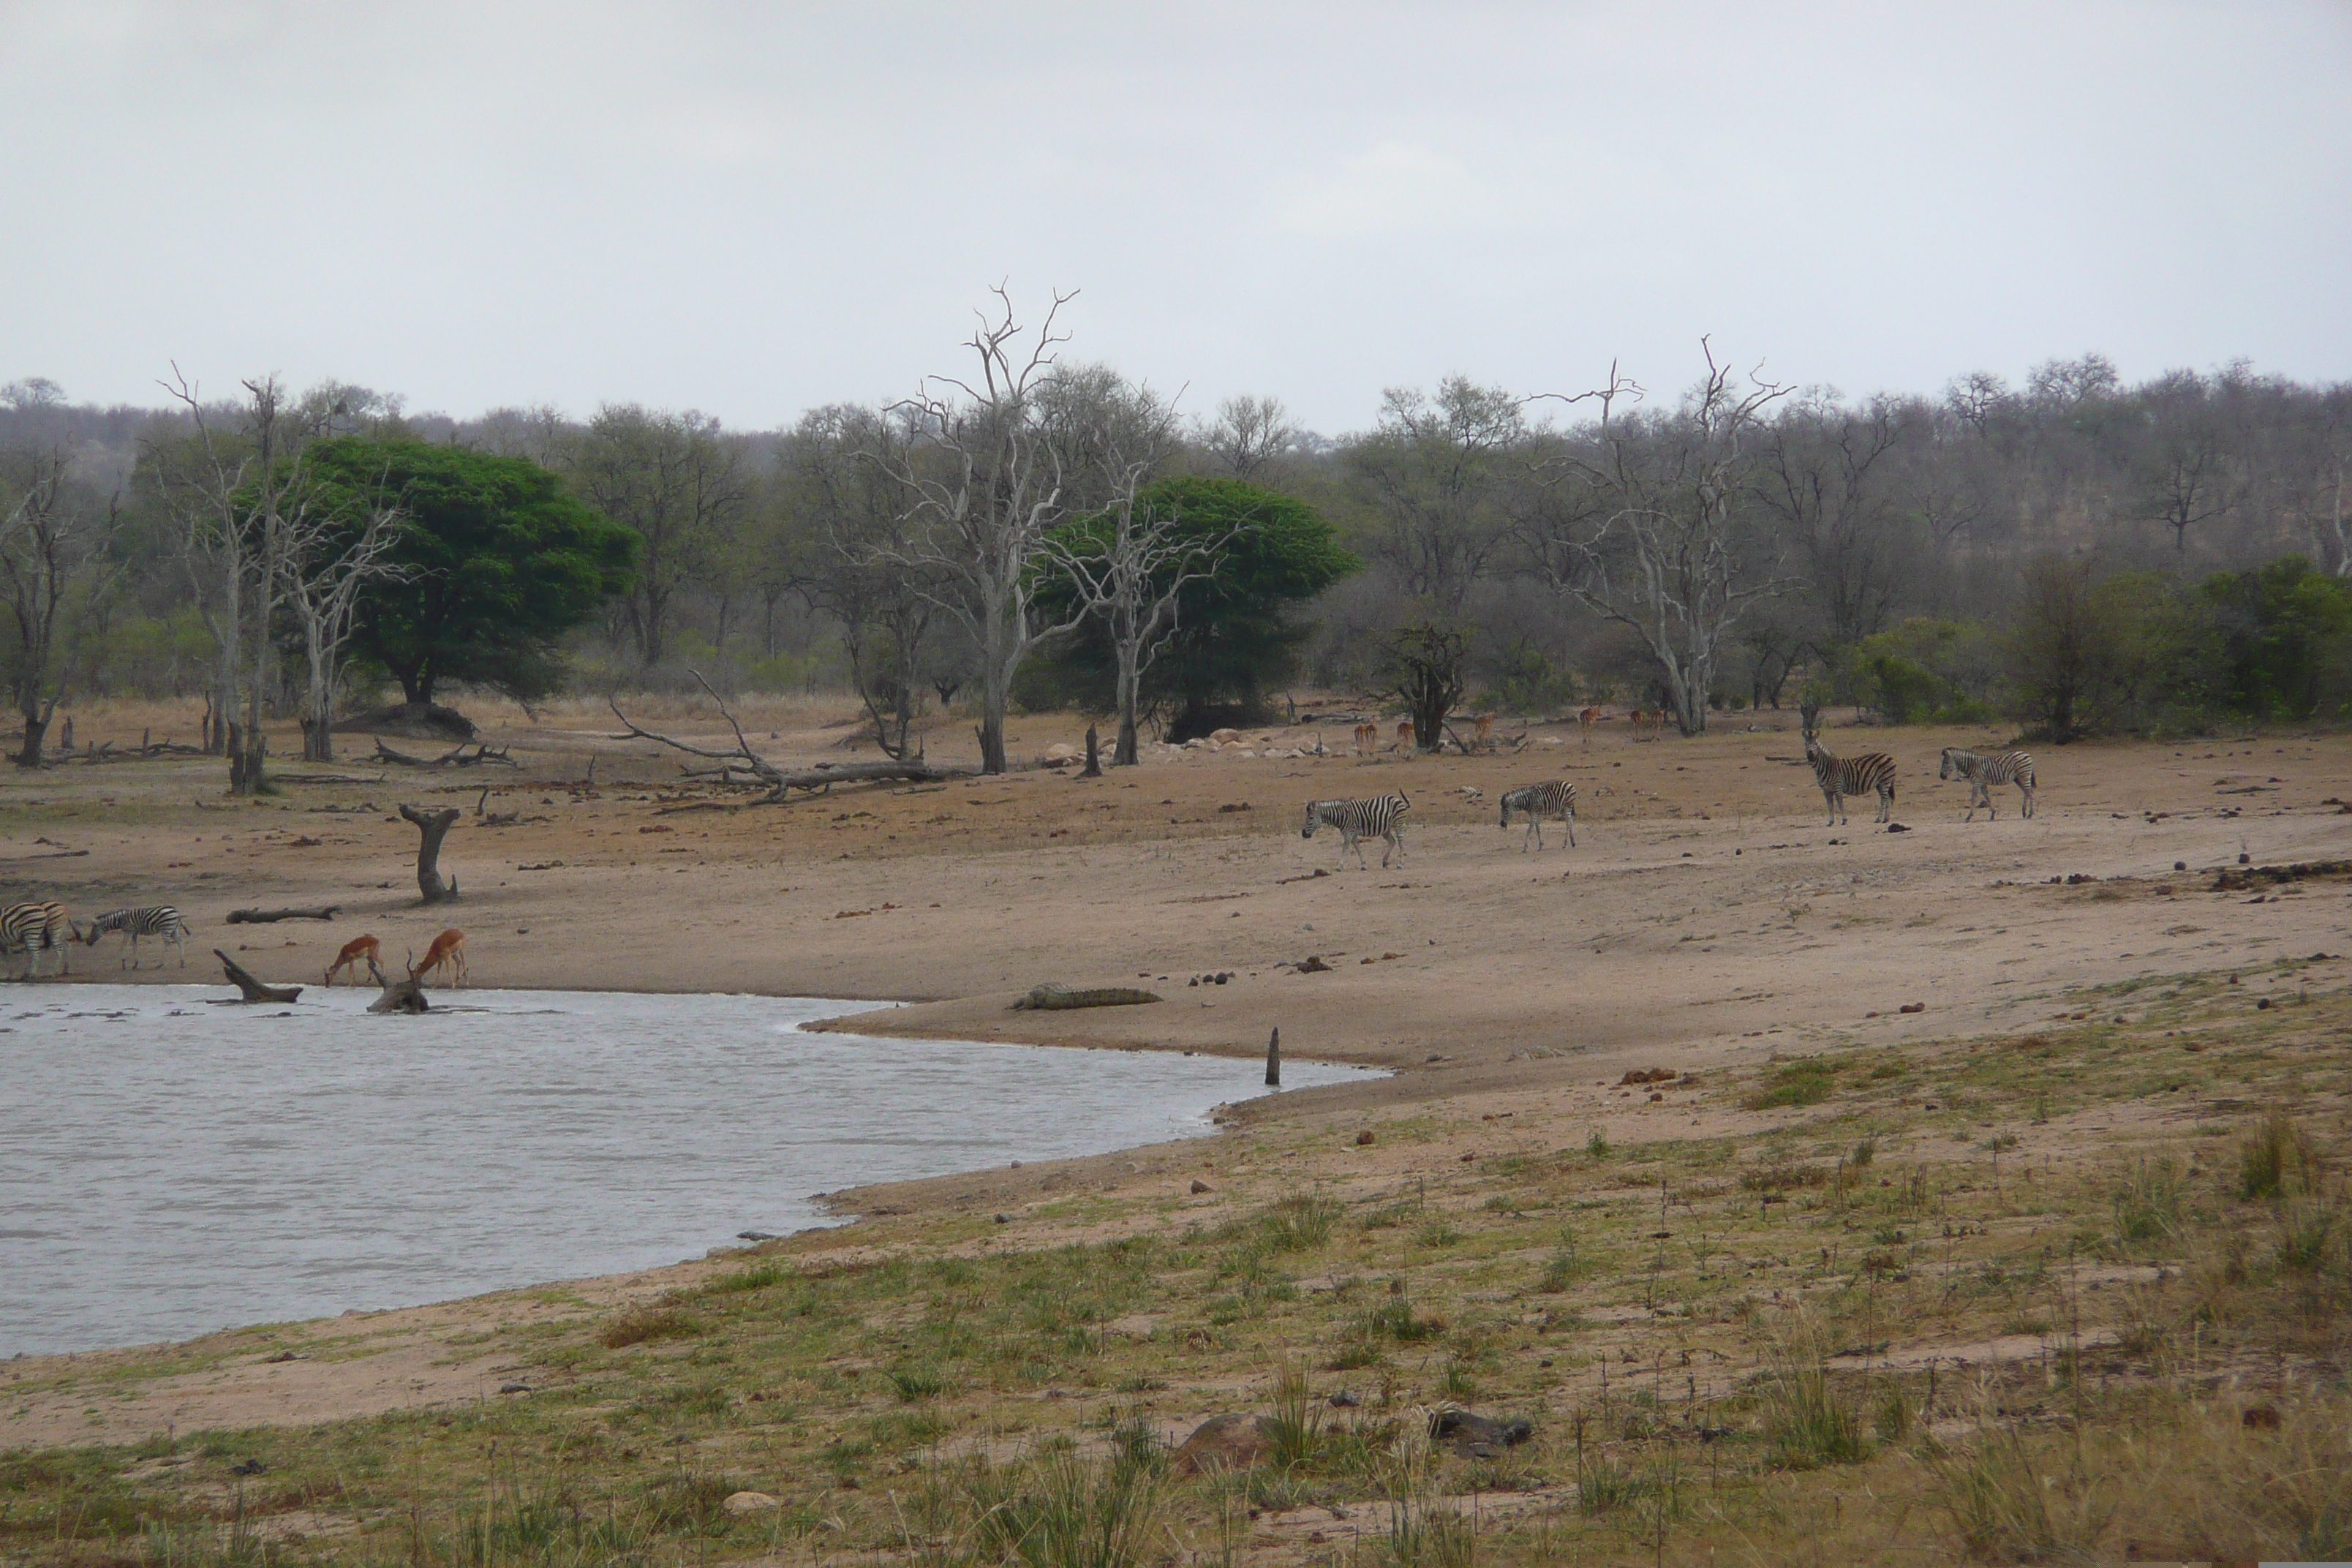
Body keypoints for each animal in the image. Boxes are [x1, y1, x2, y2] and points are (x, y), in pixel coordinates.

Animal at [80, 907, 194, 968]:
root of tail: (176, 911)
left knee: (168, 945)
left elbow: (123, 946)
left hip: (166, 928)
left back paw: (161, 964)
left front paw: (124, 964)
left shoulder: (129, 931)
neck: (121, 920)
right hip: (174, 929)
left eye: (92, 931)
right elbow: (135, 947)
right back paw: (182, 963)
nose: (88, 943)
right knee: (180, 941)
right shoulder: (135, 933)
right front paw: (135, 964)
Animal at [1298, 790, 1401, 879]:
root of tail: (1395, 797)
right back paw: (1385, 861)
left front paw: (1340, 867)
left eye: (1311, 818)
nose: (1303, 834)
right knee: (1392, 841)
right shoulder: (1352, 834)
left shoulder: (1349, 833)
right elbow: (1357, 848)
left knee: (1400, 843)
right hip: (1385, 830)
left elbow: (1345, 848)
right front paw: (1364, 865)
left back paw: (1400, 864)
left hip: (1398, 824)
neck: (1341, 815)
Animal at [1806, 724, 1900, 823]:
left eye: (1815, 744)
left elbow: (1840, 804)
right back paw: (1886, 819)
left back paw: (1879, 819)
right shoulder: (1826, 790)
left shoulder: (1837, 786)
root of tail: (1890, 756)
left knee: (1884, 800)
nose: (1810, 754)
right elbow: (1830, 806)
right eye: (1805, 744)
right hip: (1881, 783)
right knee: (1887, 799)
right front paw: (1831, 822)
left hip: (1885, 780)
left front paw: (1844, 820)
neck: (1826, 766)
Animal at [1937, 747, 2032, 823]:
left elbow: (1973, 799)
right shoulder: (1982, 784)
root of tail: (2026, 754)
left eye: (1946, 763)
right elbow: (1988, 798)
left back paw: (2030, 814)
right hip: (2018, 779)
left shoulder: (1977, 783)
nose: (1941, 776)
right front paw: (1993, 814)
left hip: (2024, 775)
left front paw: (1969, 817)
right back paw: (2024, 813)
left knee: (2030, 792)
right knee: (2026, 792)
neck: (1971, 765)